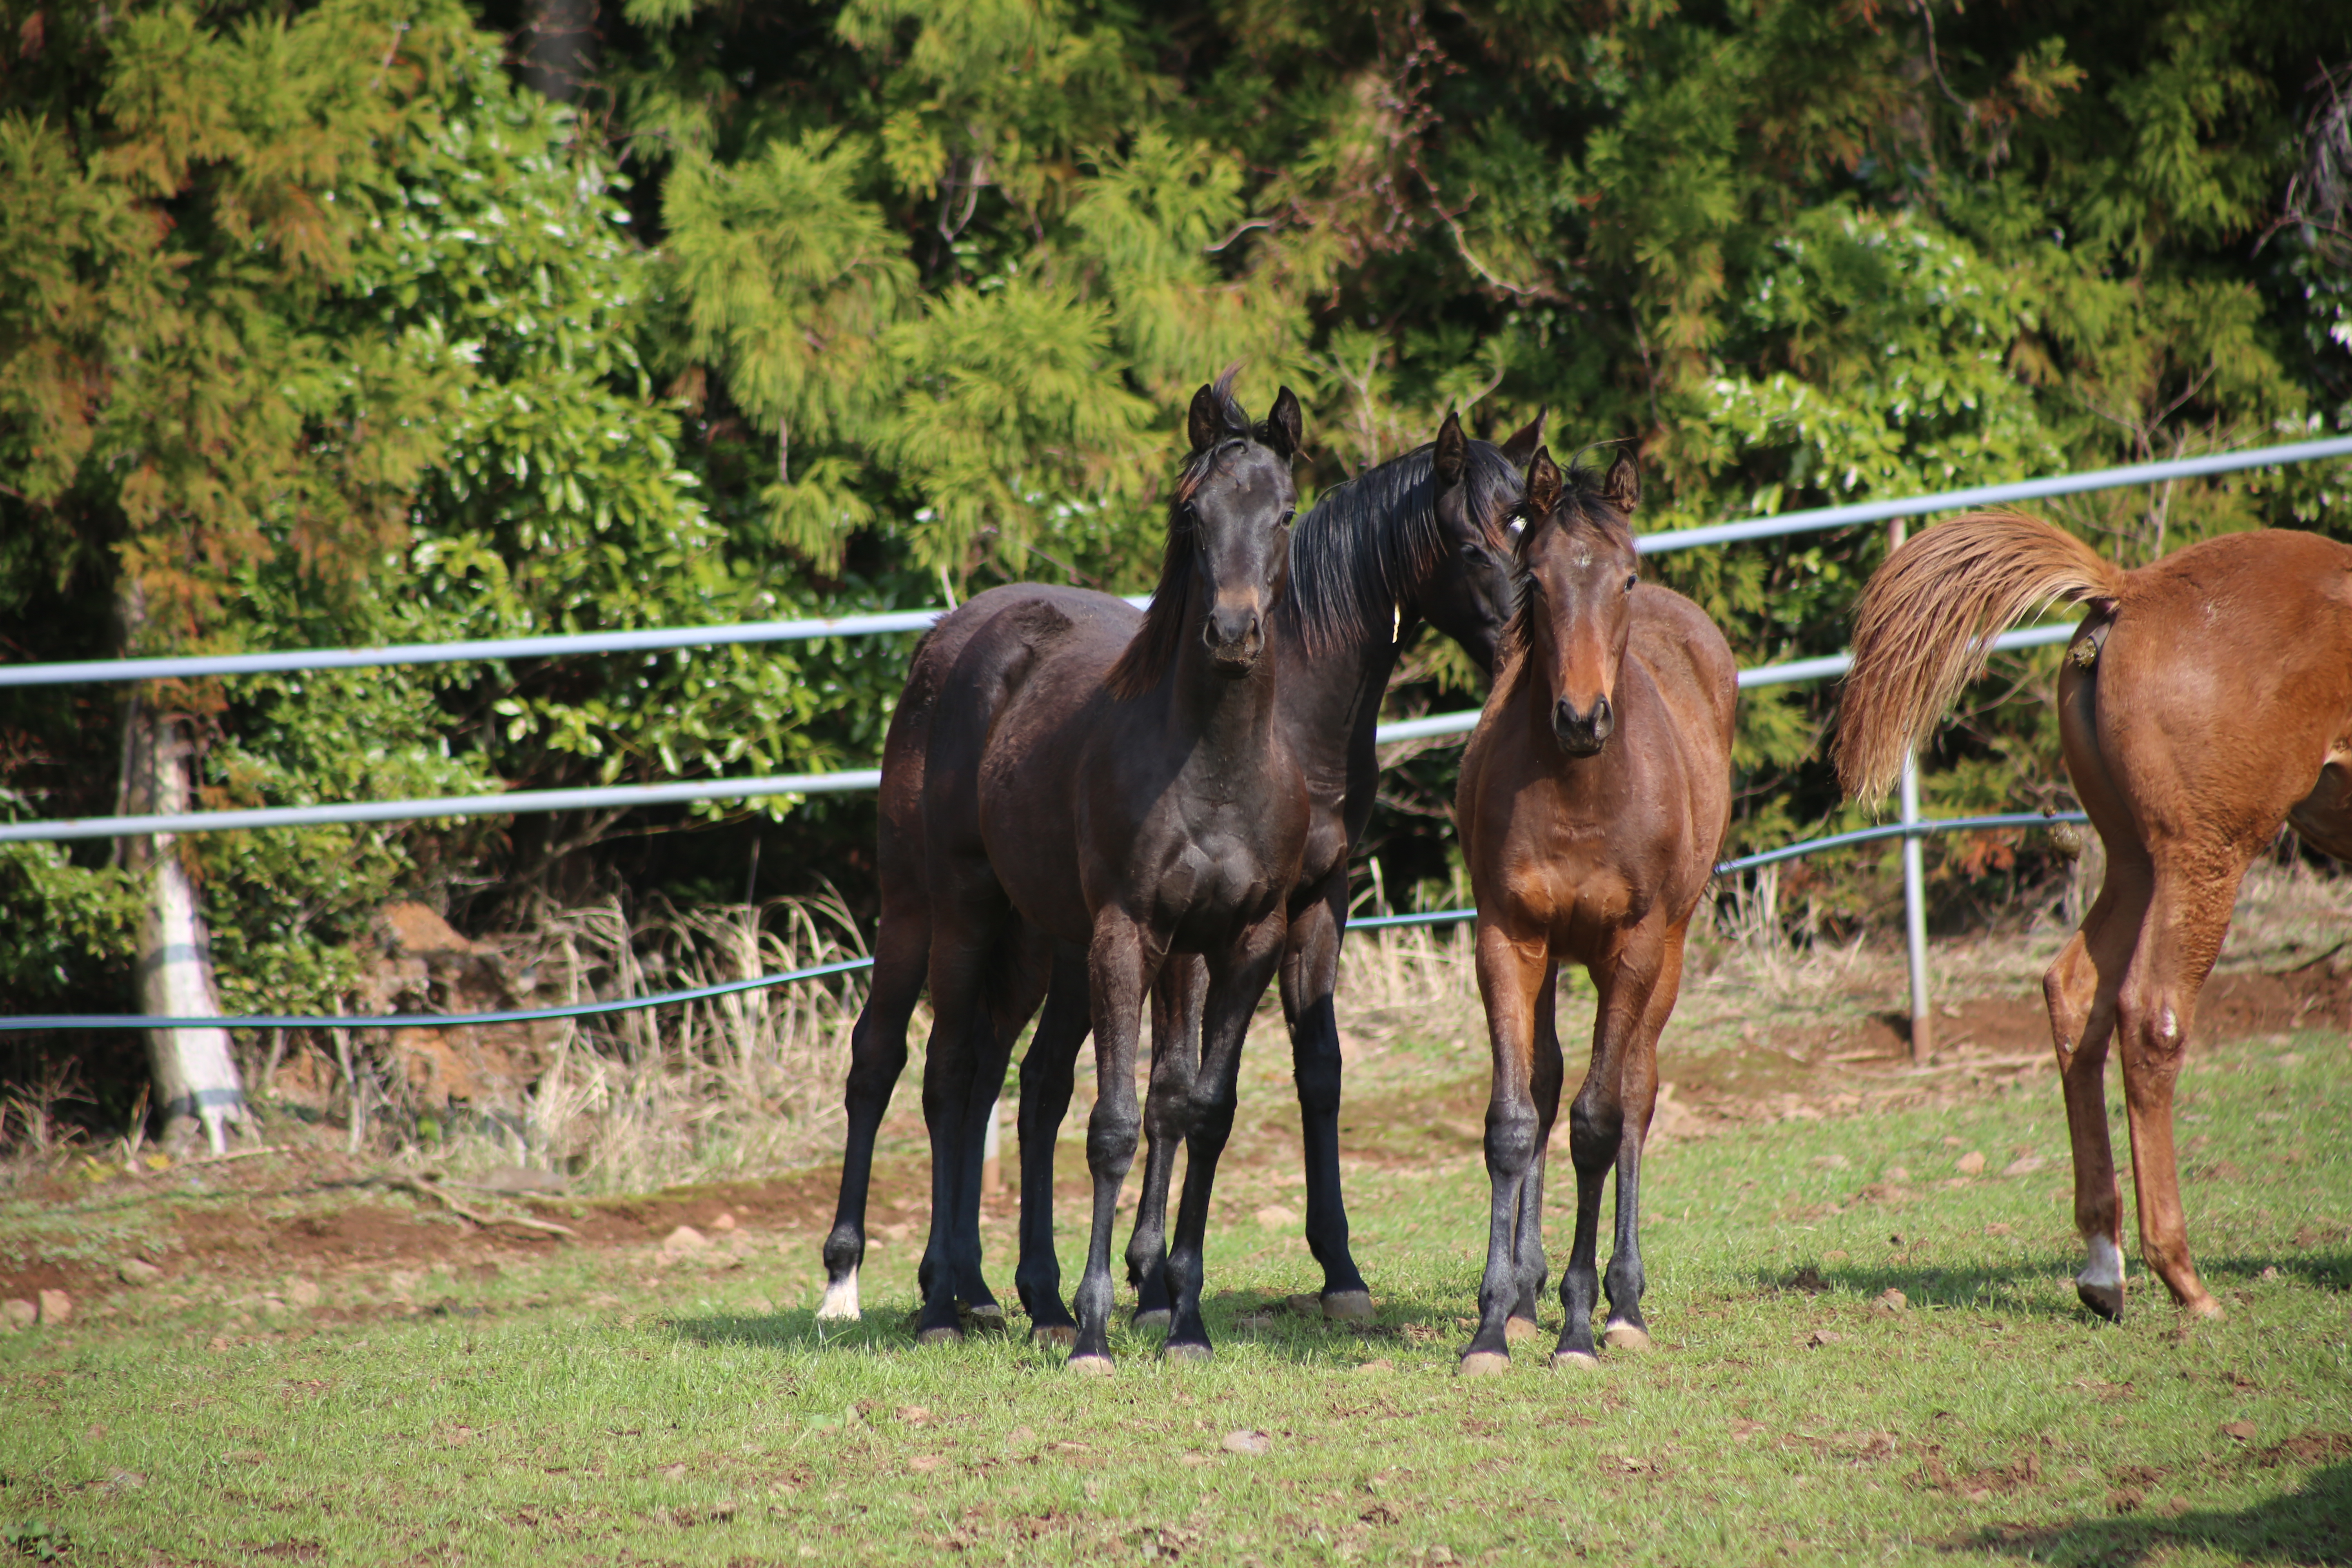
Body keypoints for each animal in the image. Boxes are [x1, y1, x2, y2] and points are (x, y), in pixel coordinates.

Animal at [1439, 451, 1740, 1373]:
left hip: (1668, 952)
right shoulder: (1509, 939)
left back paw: (1623, 1303)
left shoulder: (1633, 949)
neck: (1580, 791)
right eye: (1534, 581)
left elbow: (1601, 1125)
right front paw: (1494, 1322)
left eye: (1625, 578)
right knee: (1545, 1084)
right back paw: (1524, 1298)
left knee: (1637, 1093)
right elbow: (1515, 1119)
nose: (1580, 717)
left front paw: (1581, 1323)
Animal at [1834, 514, 2352, 1326]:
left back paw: (2104, 1267)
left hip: (2136, 859)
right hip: (2204, 856)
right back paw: (2182, 1279)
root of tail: (2133, 589)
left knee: (2077, 992)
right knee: (2152, 1015)